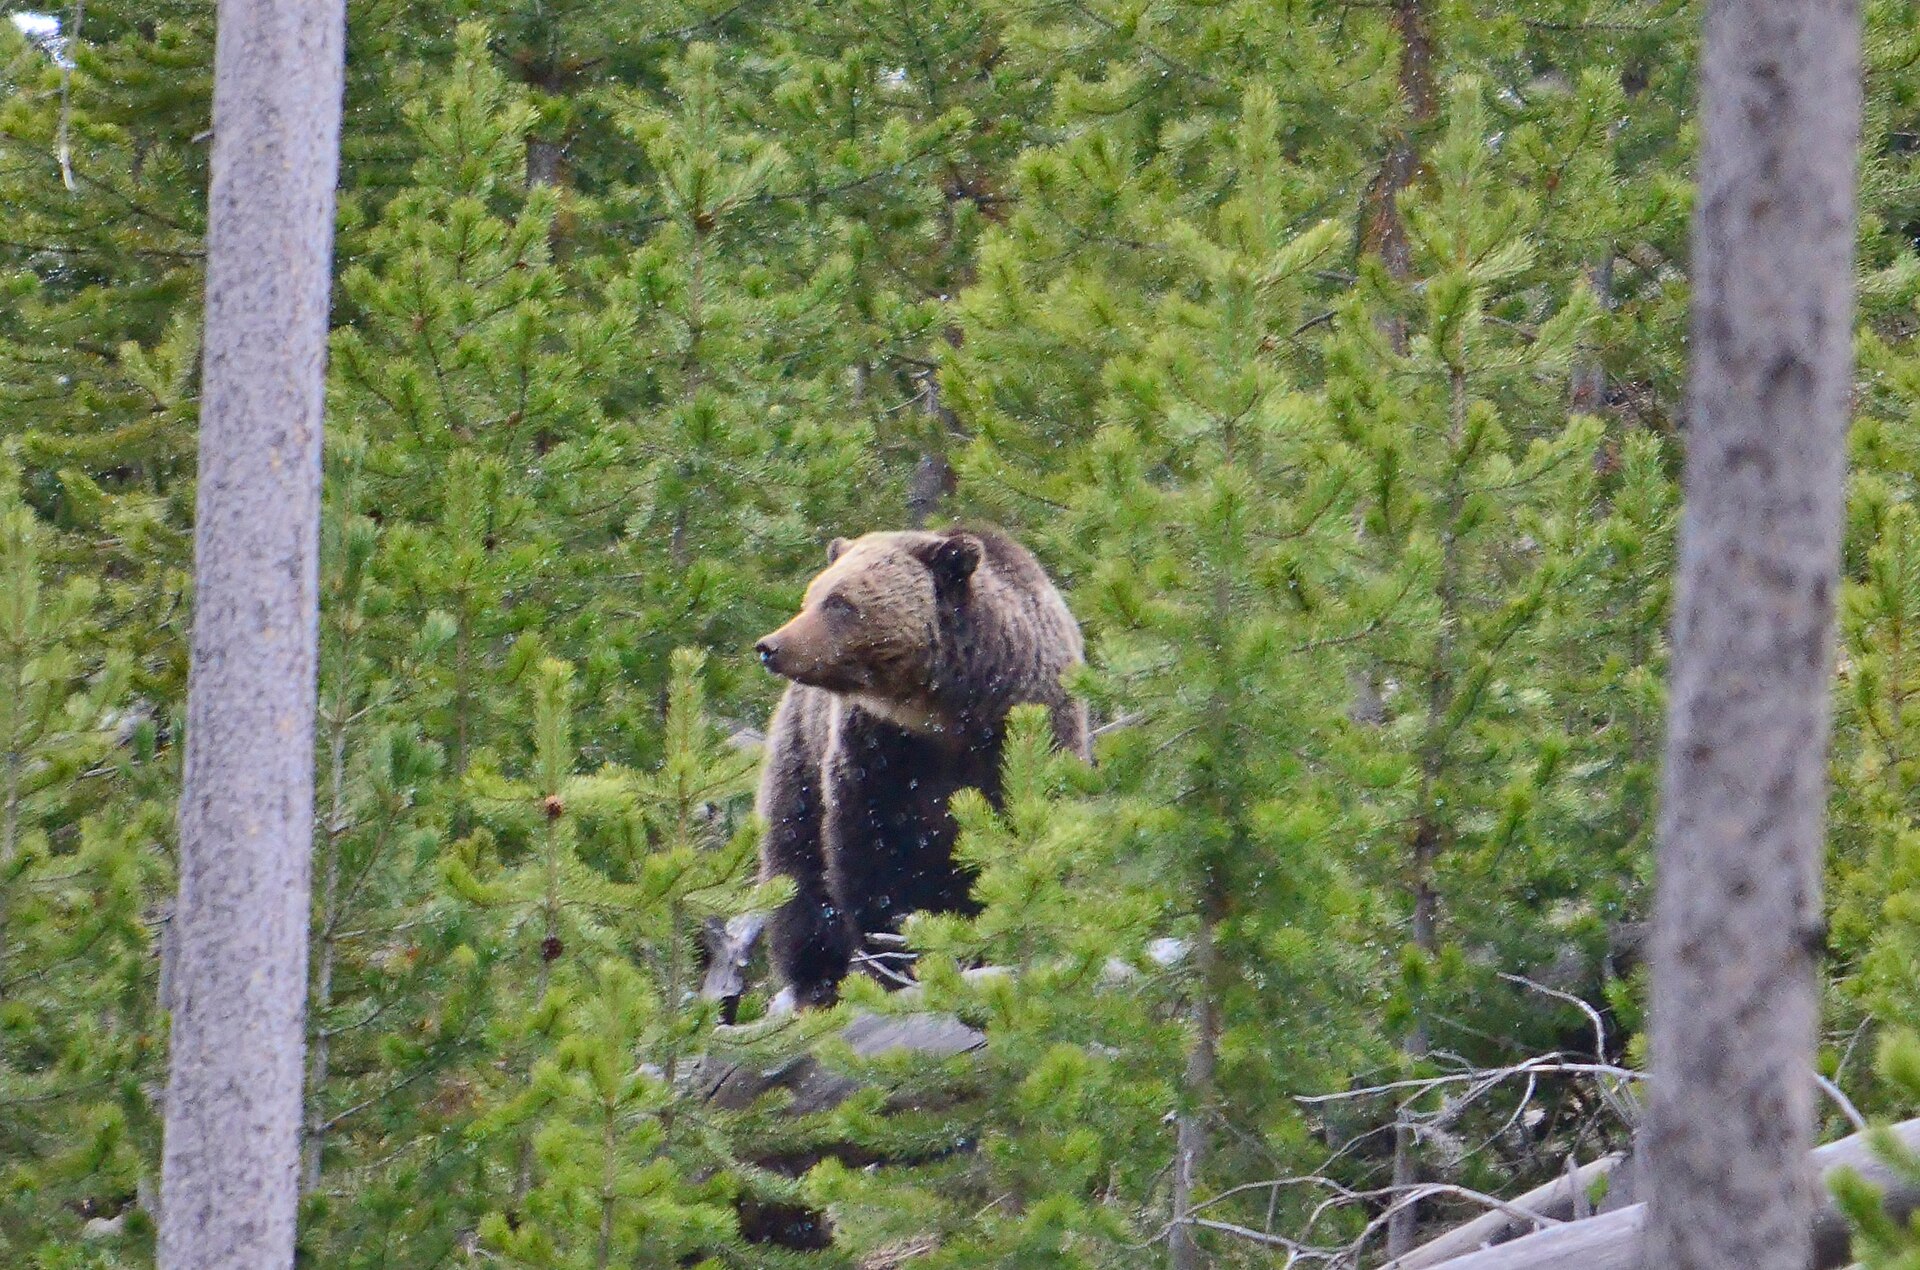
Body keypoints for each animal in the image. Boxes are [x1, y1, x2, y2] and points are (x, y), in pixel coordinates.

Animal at [753, 526, 1090, 1007]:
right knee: (797, 872)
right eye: (812, 596)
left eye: (839, 601)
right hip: (799, 759)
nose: (771, 646)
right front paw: (894, 958)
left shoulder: (1026, 730)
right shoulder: (876, 750)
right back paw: (817, 983)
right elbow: (871, 856)